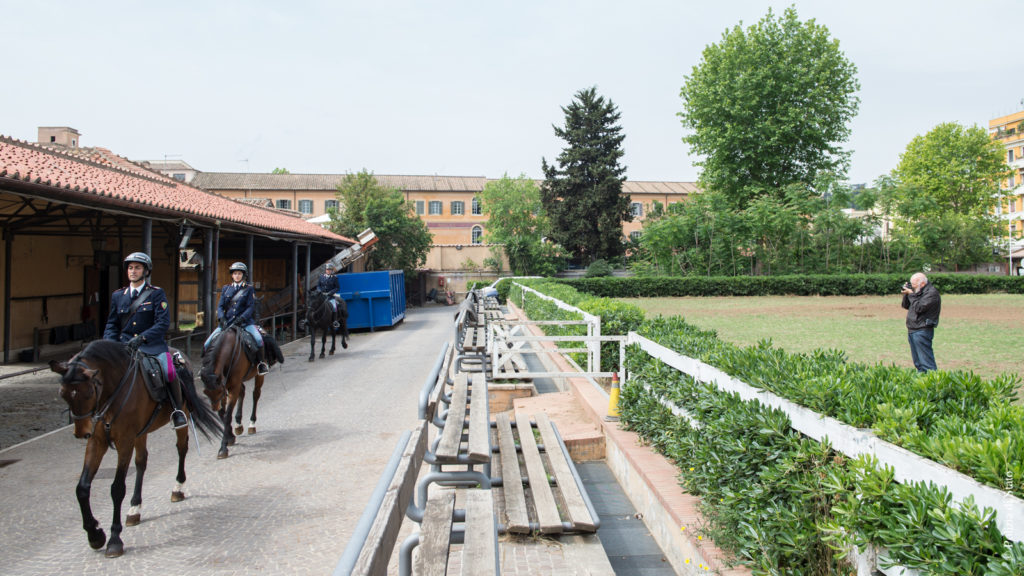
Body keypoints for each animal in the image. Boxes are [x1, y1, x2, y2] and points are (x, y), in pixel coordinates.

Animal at [48, 340, 221, 557]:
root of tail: (178, 354)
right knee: (141, 462)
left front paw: (114, 539)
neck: (112, 391)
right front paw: (95, 535)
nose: (82, 433)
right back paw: (134, 508)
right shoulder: (97, 442)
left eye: (88, 393)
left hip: (180, 416)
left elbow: (117, 488)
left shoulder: (125, 441)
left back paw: (177, 488)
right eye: (62, 394)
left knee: (181, 449)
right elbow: (82, 488)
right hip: (141, 432)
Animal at [199, 325, 284, 455]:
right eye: (205, 393)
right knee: (243, 392)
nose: (214, 407)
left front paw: (223, 447)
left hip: (258, 376)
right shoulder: (226, 385)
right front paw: (230, 437)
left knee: (256, 394)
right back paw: (238, 424)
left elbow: (227, 415)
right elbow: (222, 413)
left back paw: (251, 424)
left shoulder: (232, 387)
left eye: (219, 392)